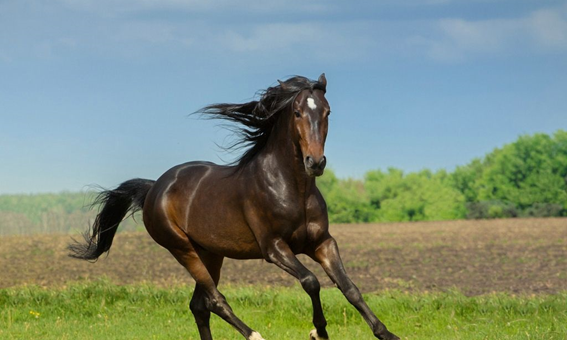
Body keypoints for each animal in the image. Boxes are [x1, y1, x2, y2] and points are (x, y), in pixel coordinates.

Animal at [70, 74, 400, 340]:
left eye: (328, 111)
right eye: (297, 112)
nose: (315, 162)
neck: (291, 188)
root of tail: (154, 188)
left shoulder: (322, 242)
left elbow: (350, 287)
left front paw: (387, 334)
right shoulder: (274, 248)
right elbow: (311, 282)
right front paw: (318, 332)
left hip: (210, 253)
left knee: (199, 305)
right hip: (182, 249)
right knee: (215, 300)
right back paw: (255, 335)